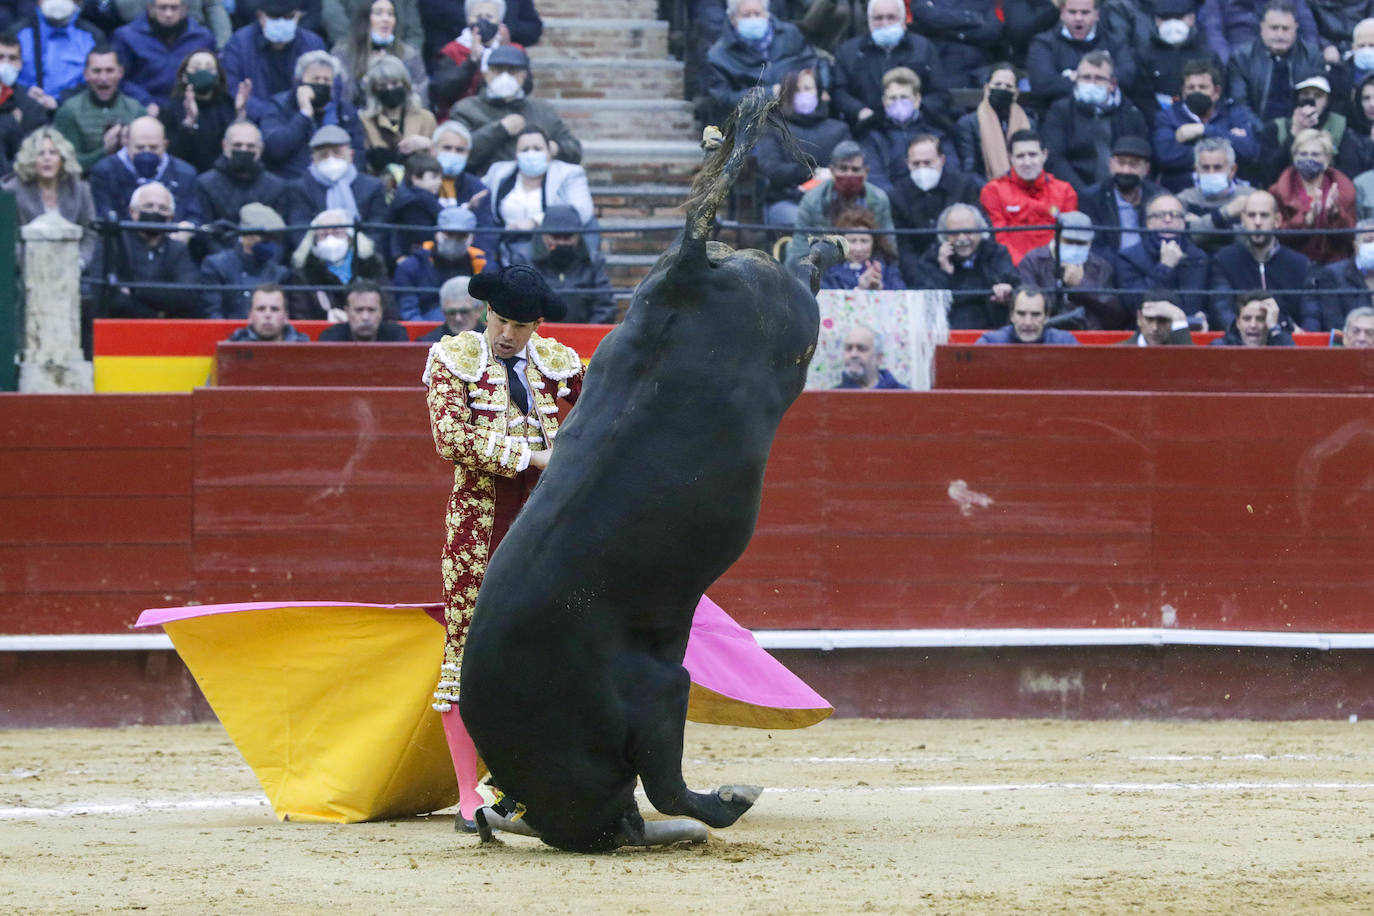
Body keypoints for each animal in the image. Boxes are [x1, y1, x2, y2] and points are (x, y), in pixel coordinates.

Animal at [461, 93, 840, 851]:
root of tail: (686, 278)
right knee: (801, 267)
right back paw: (826, 238)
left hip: (790, 327)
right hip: (788, 321)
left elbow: (665, 780)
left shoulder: (659, 691)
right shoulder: (664, 688)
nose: (618, 832)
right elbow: (666, 781)